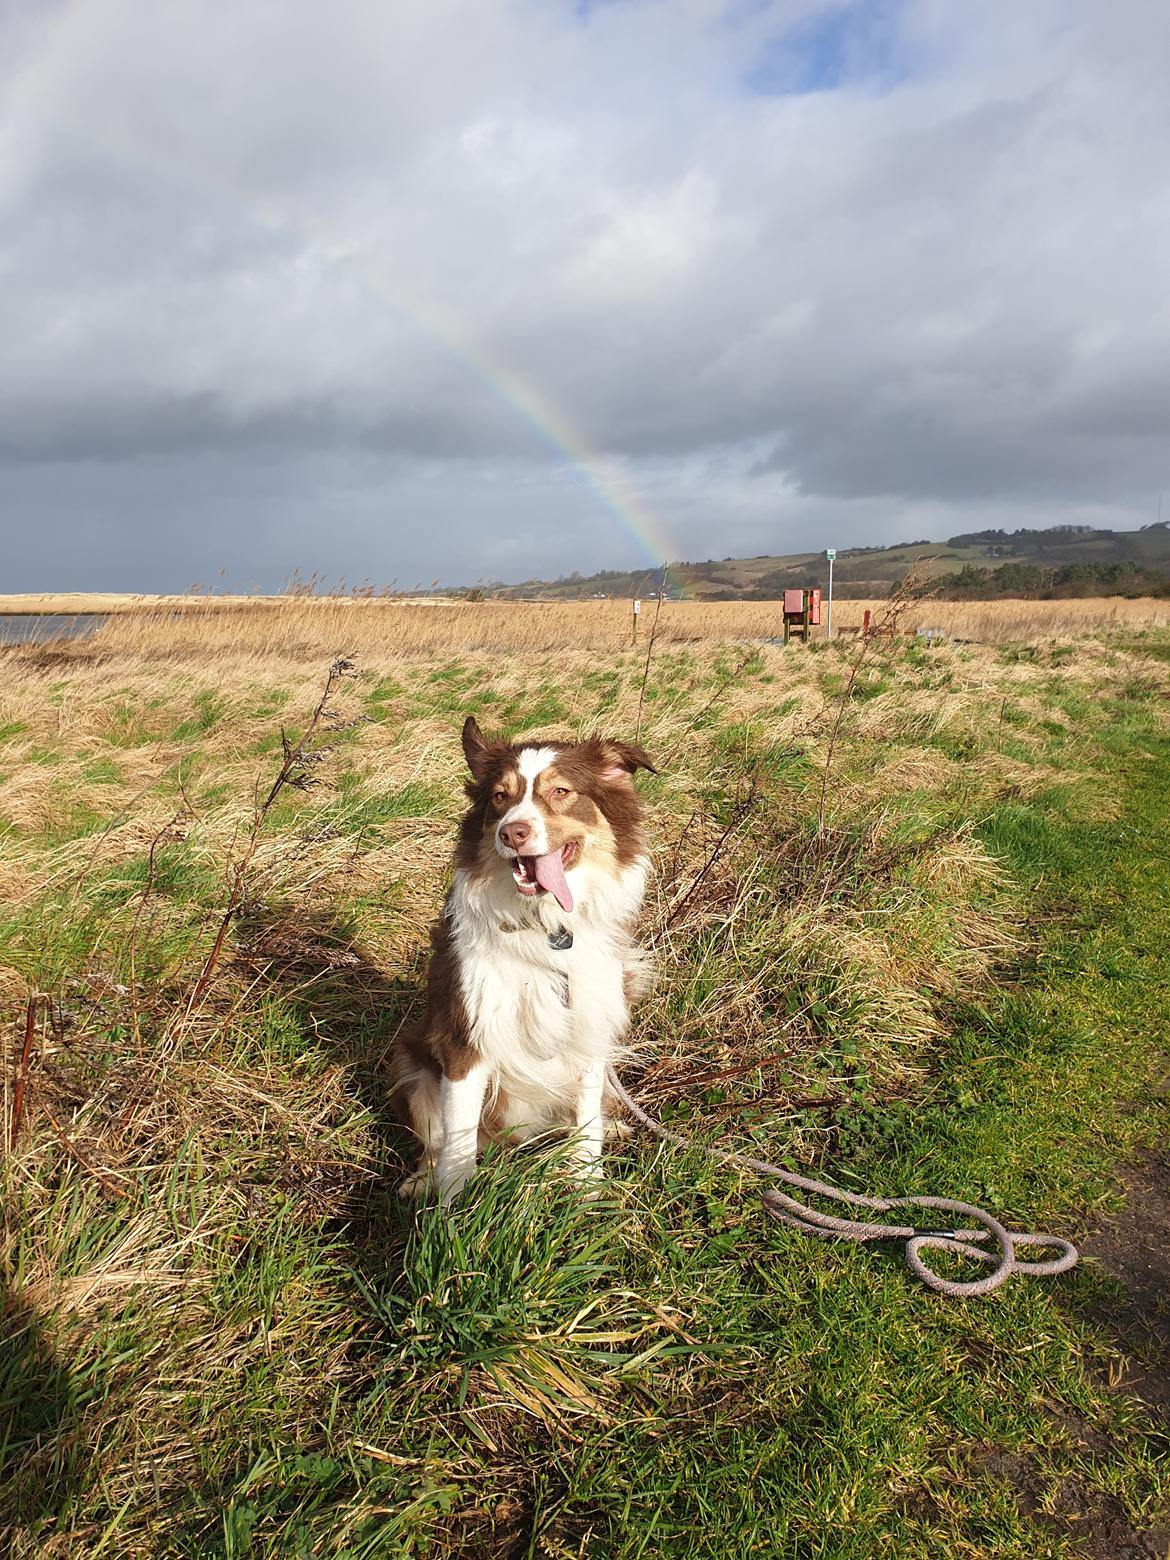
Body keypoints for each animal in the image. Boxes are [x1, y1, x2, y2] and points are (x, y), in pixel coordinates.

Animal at [390, 714, 655, 1198]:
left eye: (561, 791)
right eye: (500, 797)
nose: (512, 832)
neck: (547, 927)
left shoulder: (591, 1022)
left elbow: (586, 1114)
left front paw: (586, 1184)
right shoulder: (464, 1034)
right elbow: (457, 1141)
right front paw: (452, 1205)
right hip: (410, 1060)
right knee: (434, 1139)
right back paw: (421, 1181)